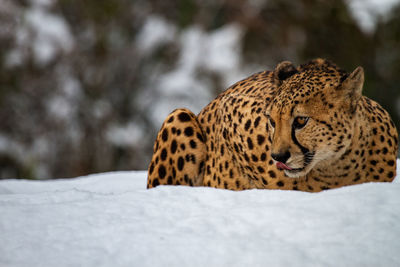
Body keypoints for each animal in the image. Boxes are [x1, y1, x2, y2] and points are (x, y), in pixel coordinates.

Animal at [146, 58, 396, 193]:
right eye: (272, 121)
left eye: (301, 120)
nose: (278, 156)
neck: (338, 167)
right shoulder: (230, 106)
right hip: (179, 116)